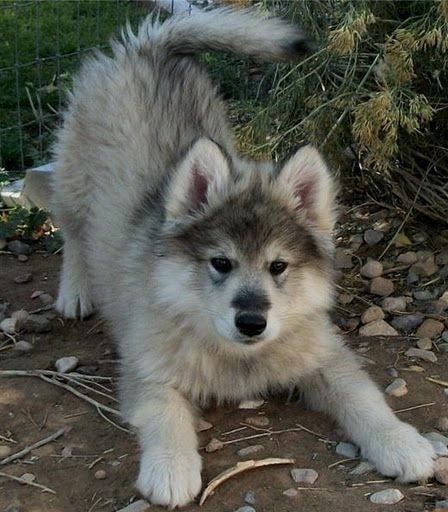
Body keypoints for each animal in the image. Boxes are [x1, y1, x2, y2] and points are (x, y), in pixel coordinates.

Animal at [52, 8, 434, 508]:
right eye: (221, 263)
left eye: (278, 266)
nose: (252, 322)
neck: (237, 357)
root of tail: (149, 48)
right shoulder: (147, 369)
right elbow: (164, 412)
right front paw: (170, 468)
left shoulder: (326, 355)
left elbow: (365, 398)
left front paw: (402, 442)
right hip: (75, 181)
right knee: (73, 234)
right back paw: (75, 291)